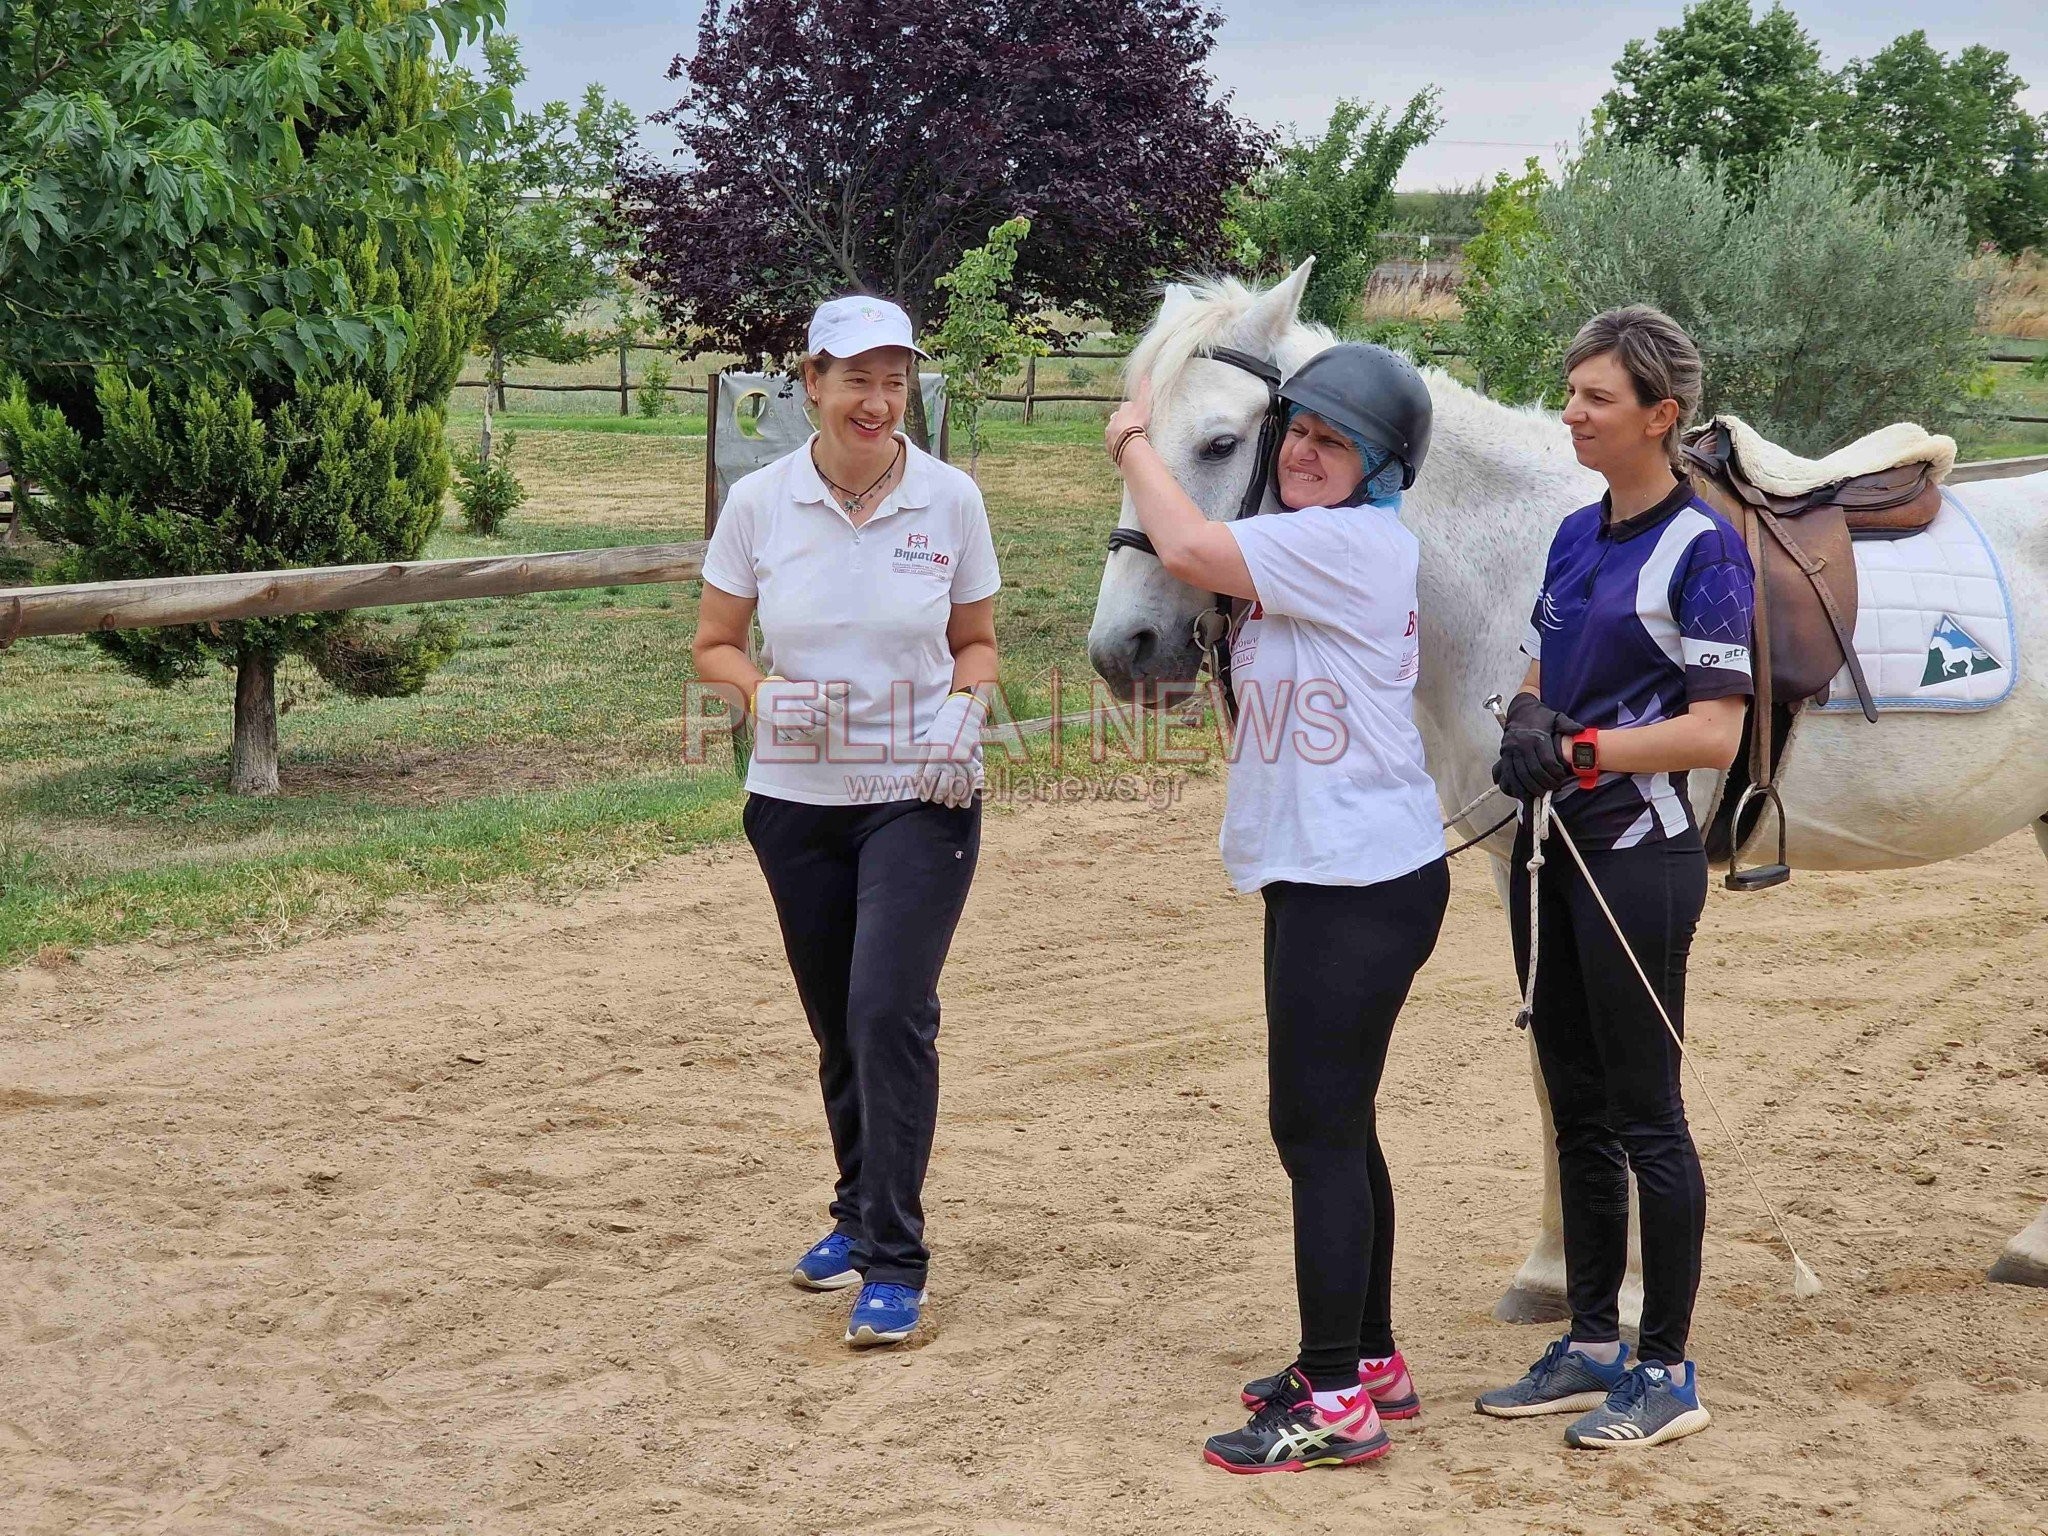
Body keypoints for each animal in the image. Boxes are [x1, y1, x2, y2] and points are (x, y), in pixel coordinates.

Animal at [1089, 262, 2048, 1310]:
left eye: (1220, 442)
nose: (1122, 650)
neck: (1513, 554)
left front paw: (1614, 1284)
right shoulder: (1526, 860)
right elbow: (1553, 1064)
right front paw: (1556, 1268)